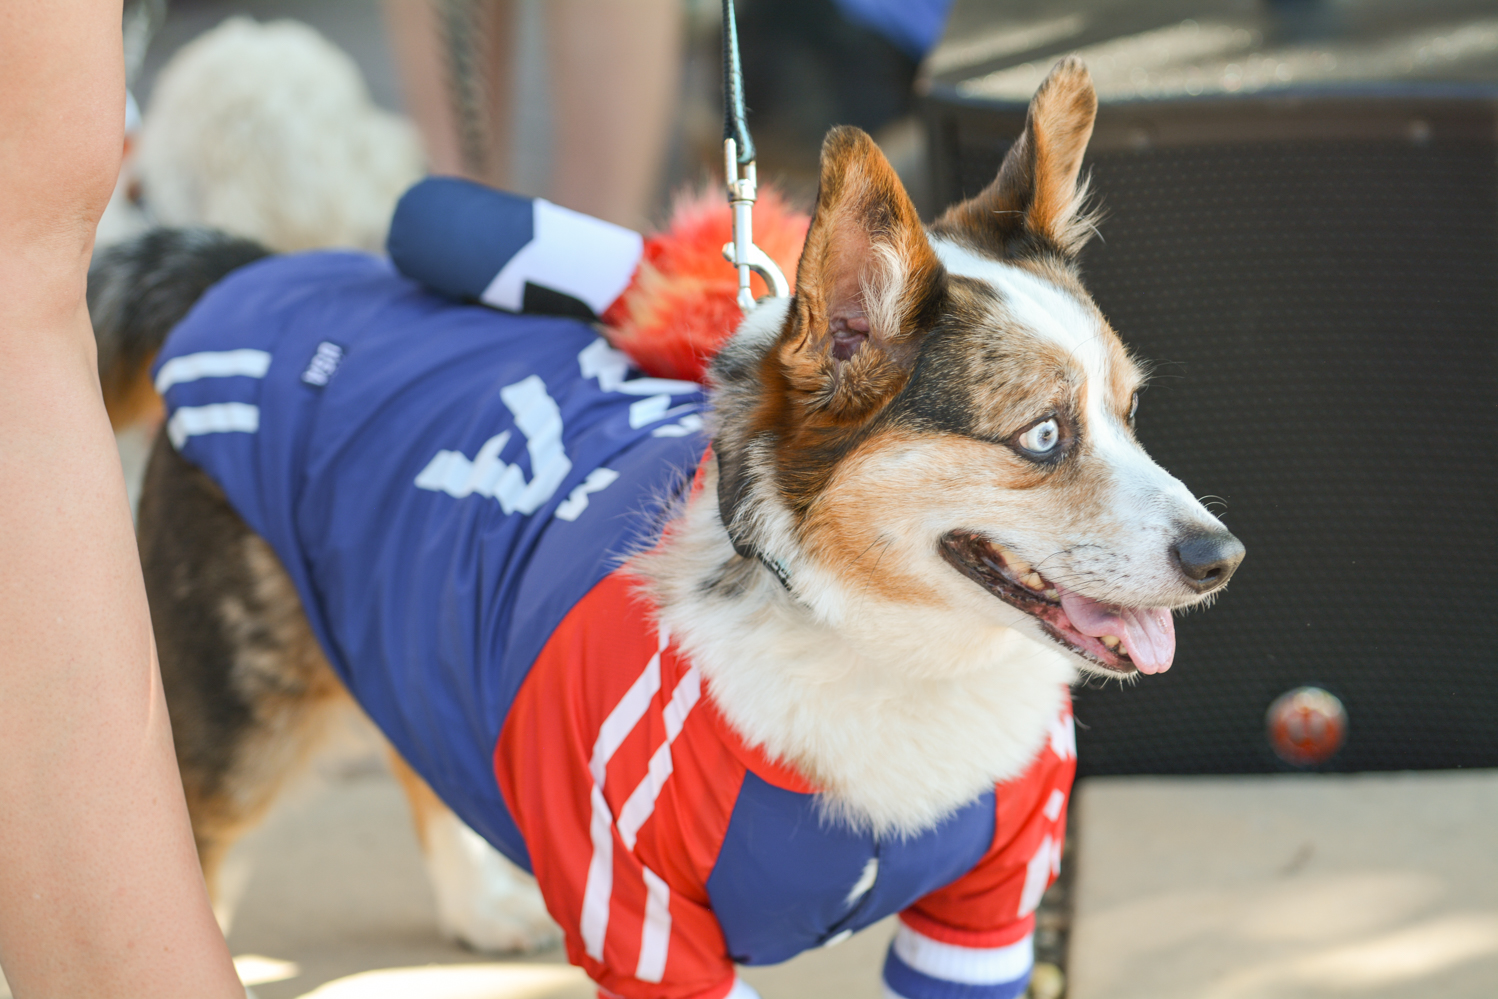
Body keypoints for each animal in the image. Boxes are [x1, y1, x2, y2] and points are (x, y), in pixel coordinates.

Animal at [96, 56, 1240, 999]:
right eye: (1041, 435)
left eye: (1130, 410)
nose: (1219, 558)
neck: (881, 649)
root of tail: (244, 271)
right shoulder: (640, 921)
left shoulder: (982, 920)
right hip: (234, 730)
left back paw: (477, 907)